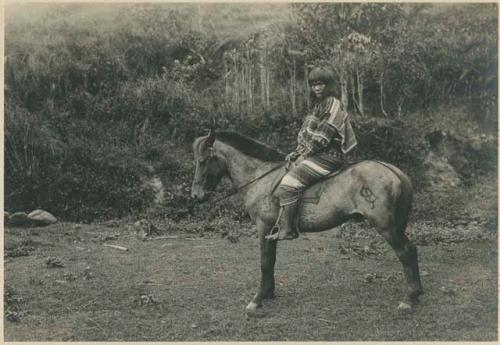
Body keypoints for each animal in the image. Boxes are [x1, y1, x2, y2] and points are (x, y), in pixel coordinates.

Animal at [190, 129, 422, 312]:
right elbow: (271, 261)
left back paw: (410, 299)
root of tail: (393, 170)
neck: (261, 177)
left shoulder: (264, 227)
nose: (195, 195)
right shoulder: (271, 231)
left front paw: (257, 300)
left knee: (406, 252)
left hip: (386, 226)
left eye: (202, 161)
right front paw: (268, 293)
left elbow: (264, 262)